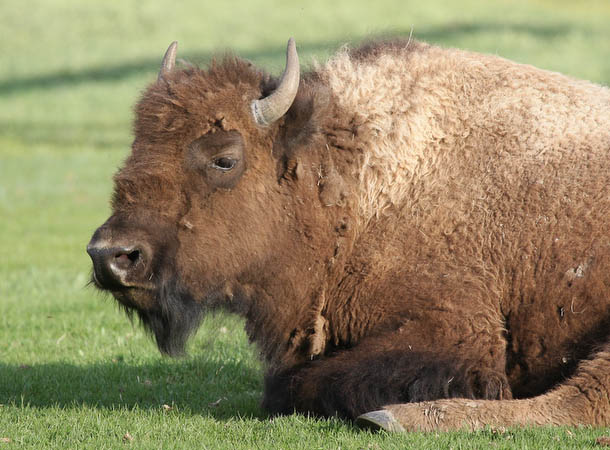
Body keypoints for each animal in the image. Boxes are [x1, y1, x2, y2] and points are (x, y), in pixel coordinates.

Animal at [86, 37, 608, 430]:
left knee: (582, 401)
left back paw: (393, 419)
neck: (351, 183)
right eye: (137, 146)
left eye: (224, 158)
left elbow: (300, 385)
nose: (111, 255)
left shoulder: (456, 327)